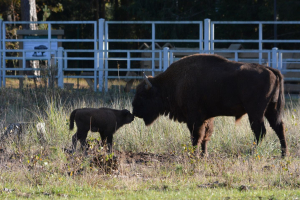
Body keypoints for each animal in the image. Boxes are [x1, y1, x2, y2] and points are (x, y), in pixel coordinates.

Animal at [132, 54, 288, 157]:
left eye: (142, 95)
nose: (134, 110)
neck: (174, 83)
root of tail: (271, 70)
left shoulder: (194, 118)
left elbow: (196, 136)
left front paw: (194, 154)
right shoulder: (206, 118)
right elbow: (205, 136)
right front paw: (204, 155)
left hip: (255, 111)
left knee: (260, 131)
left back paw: (252, 153)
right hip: (271, 109)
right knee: (279, 128)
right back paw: (283, 154)